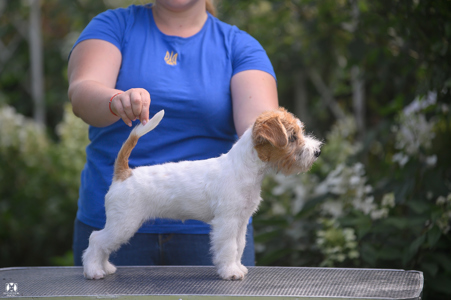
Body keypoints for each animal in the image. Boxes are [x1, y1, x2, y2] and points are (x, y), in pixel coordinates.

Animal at [81, 108, 322, 282]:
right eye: (292, 137)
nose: (317, 152)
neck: (243, 168)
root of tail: (124, 173)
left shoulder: (240, 222)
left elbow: (239, 246)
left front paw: (238, 266)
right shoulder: (226, 222)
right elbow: (229, 247)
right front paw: (230, 272)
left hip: (121, 225)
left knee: (101, 244)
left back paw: (106, 268)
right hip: (123, 224)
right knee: (95, 240)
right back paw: (93, 271)